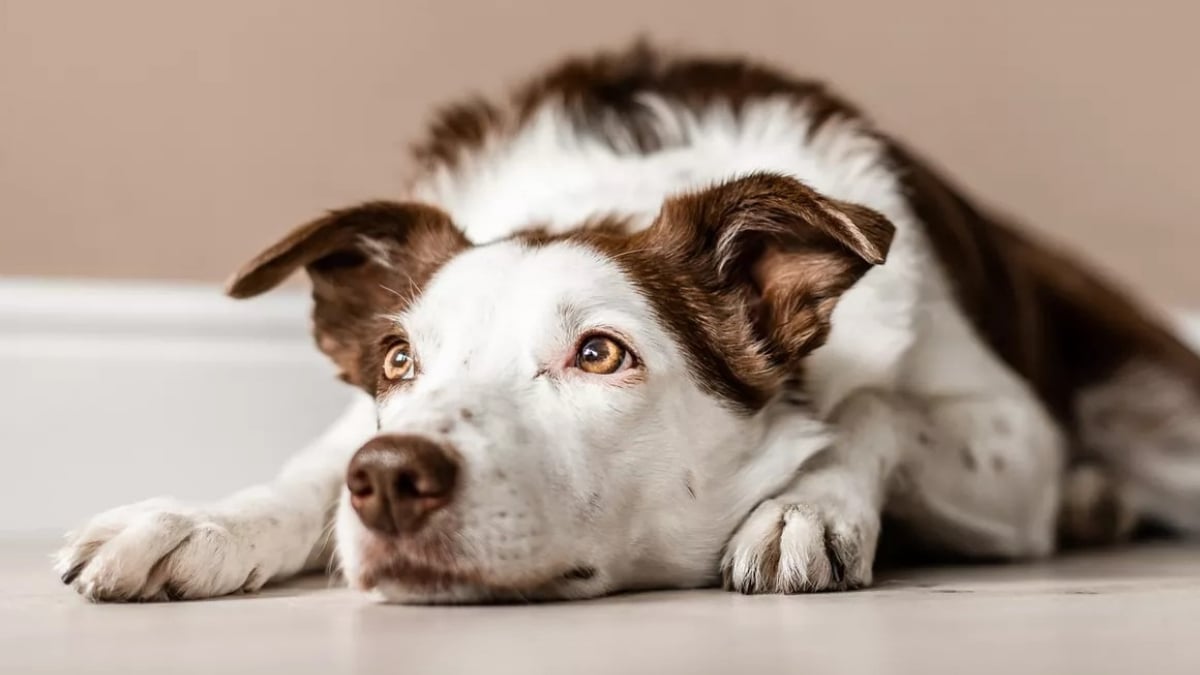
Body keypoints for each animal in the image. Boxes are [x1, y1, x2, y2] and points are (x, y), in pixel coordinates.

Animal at [54, 43, 1200, 598]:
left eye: (600, 353)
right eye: (397, 362)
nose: (389, 483)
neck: (616, 191)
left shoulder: (1014, 440)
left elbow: (874, 405)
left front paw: (806, 505)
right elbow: (306, 470)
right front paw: (198, 521)